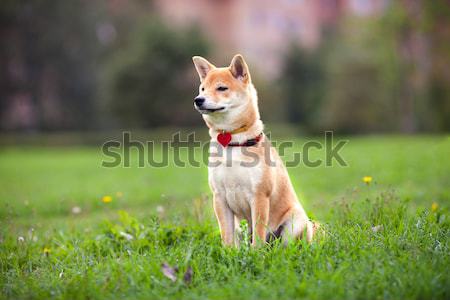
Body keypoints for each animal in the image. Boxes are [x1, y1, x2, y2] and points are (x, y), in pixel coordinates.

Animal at [192, 54, 314, 246]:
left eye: (221, 88)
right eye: (203, 89)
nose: (198, 99)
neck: (233, 141)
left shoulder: (259, 196)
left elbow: (258, 234)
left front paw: (256, 252)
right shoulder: (219, 198)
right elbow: (227, 236)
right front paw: (228, 252)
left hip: (296, 222)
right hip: (241, 227)